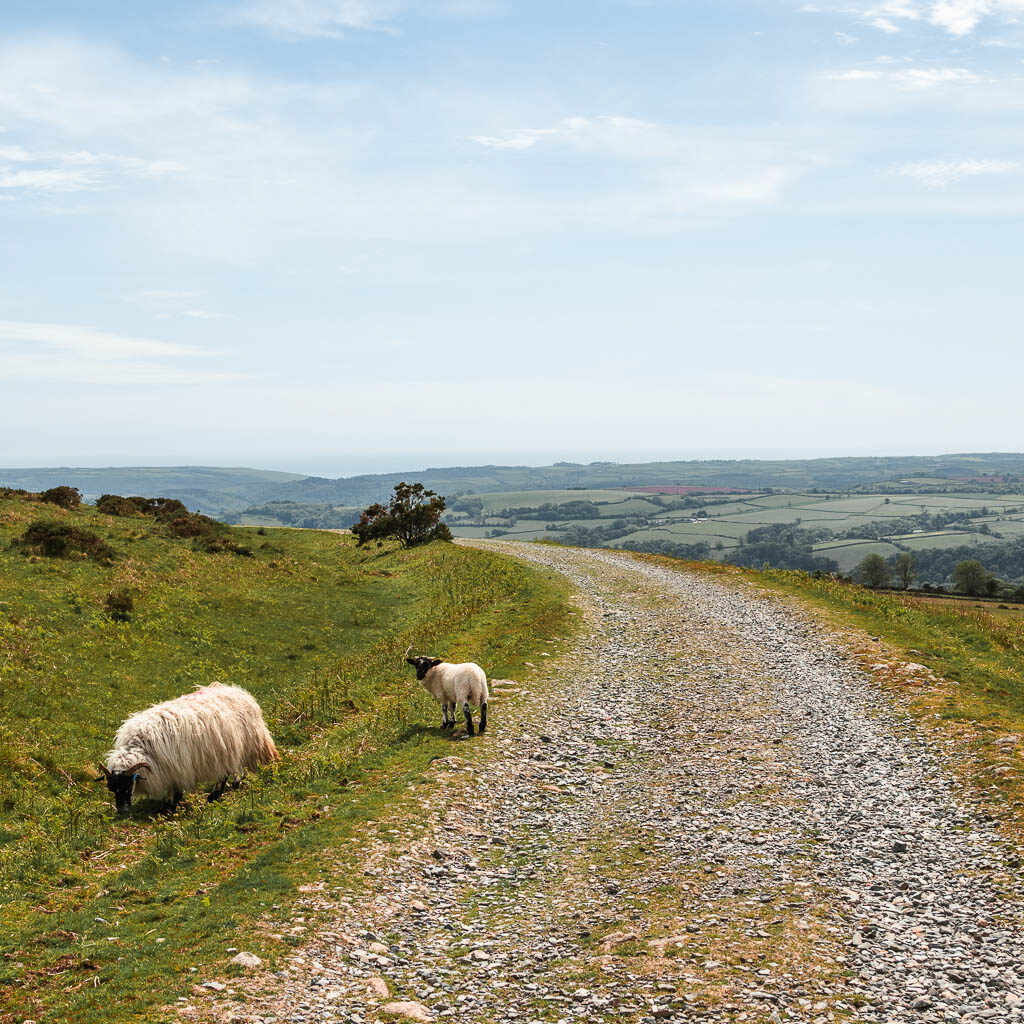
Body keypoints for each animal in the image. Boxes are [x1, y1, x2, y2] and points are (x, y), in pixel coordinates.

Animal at [99, 679, 278, 815]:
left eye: (128, 785)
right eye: (112, 789)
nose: (122, 811)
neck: (142, 747)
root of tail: (237, 691)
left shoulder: (176, 767)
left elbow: (175, 790)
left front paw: (169, 807)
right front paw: (168, 805)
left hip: (247, 744)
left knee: (227, 773)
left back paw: (215, 796)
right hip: (230, 748)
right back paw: (233, 784)